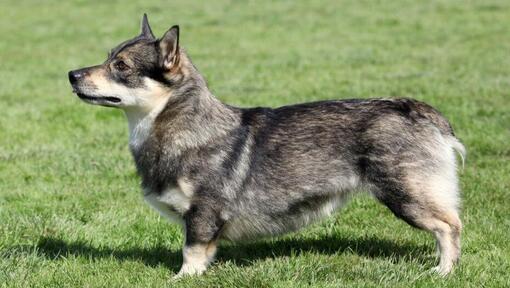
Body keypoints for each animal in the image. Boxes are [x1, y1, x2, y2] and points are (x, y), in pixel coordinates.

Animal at [68, 14, 466, 278]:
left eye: (121, 66)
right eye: (108, 57)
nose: (71, 74)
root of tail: (414, 109)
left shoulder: (202, 213)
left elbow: (192, 252)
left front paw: (181, 279)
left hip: (405, 194)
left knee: (450, 226)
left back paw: (443, 272)